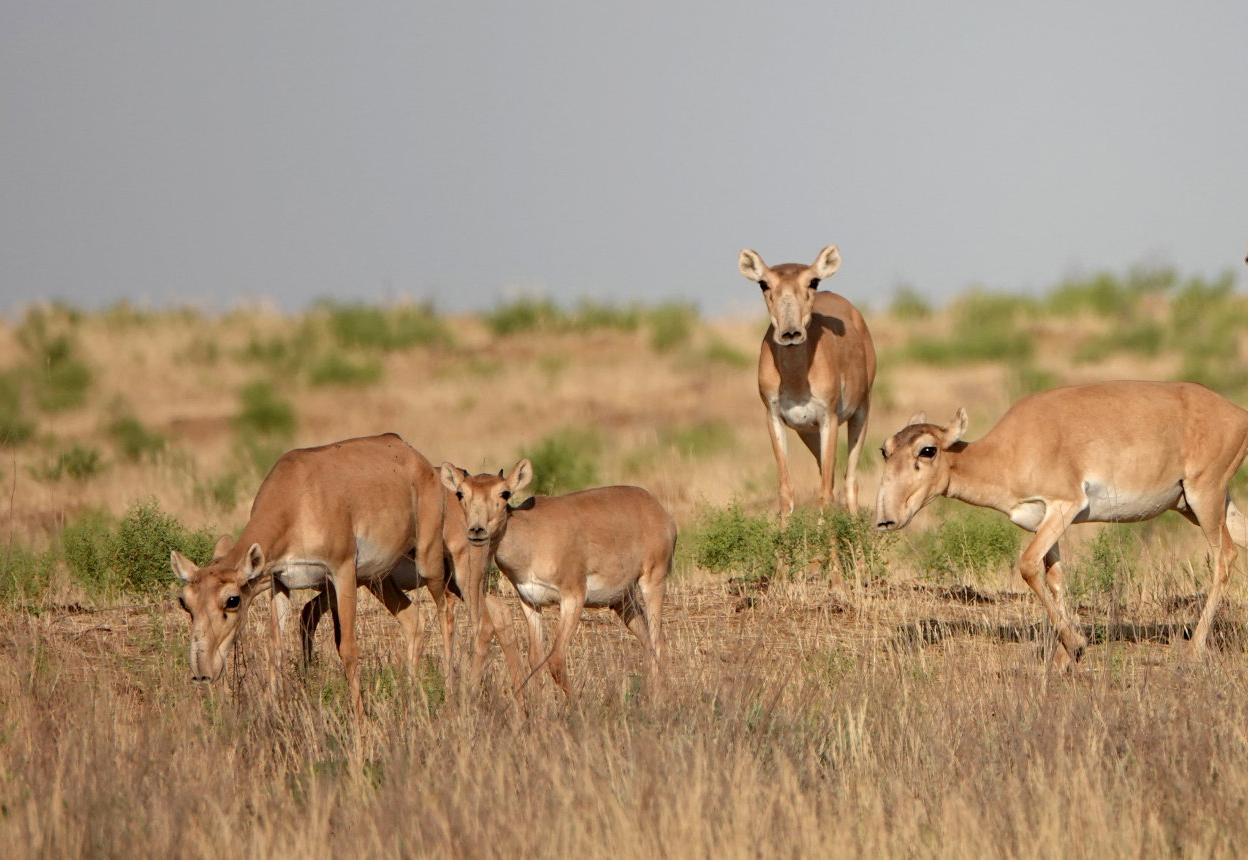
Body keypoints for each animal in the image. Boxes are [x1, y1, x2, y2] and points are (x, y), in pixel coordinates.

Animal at [168, 429, 454, 718]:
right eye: (185, 602)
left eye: (232, 600)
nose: (202, 674)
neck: (297, 496)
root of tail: (412, 454)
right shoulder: (279, 582)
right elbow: (274, 646)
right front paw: (271, 711)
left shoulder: (342, 571)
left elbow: (348, 648)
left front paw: (360, 719)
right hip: (379, 580)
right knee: (414, 621)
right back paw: (413, 696)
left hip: (427, 562)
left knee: (446, 608)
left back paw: (452, 688)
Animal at [436, 459, 673, 693]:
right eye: (461, 493)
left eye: (504, 493)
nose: (477, 531)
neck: (532, 534)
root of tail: (656, 508)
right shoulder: (530, 603)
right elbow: (535, 661)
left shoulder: (573, 597)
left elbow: (556, 660)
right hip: (623, 600)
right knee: (650, 643)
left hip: (652, 581)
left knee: (658, 642)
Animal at [738, 244, 878, 519]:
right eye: (763, 283)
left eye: (813, 281)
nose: (790, 333)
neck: (796, 381)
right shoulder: (775, 419)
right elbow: (786, 491)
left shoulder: (829, 420)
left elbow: (826, 493)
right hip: (808, 433)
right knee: (832, 477)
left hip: (860, 413)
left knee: (849, 482)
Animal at [873, 381, 1248, 669]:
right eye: (885, 449)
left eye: (927, 450)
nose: (886, 518)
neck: (1006, 449)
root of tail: (1237, 414)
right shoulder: (1045, 521)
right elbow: (1053, 577)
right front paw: (1066, 654)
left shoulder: (1064, 506)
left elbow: (1027, 565)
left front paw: (1076, 644)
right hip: (1195, 504)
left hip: (1205, 497)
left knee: (1225, 555)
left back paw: (1194, 648)